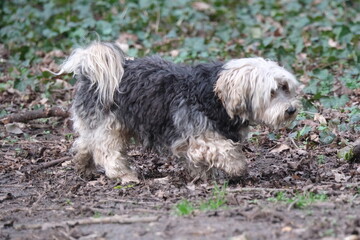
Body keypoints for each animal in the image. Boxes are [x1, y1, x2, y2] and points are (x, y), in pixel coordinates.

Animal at [56, 41, 300, 184]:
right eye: (272, 92)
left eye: (285, 87)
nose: (291, 109)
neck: (215, 95)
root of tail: (89, 74)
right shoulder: (199, 137)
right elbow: (225, 151)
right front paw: (237, 167)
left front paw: (206, 176)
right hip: (110, 126)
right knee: (107, 152)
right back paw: (124, 174)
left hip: (94, 124)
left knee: (84, 143)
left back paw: (83, 166)